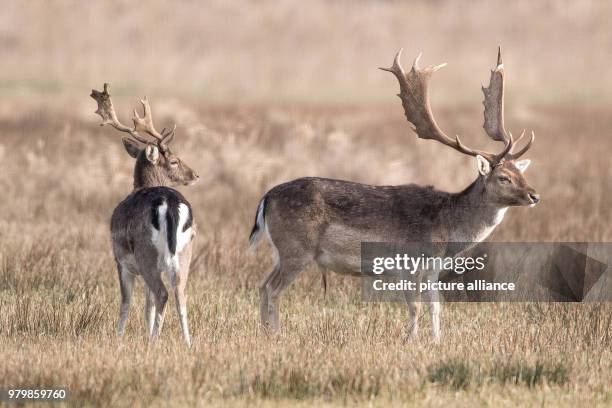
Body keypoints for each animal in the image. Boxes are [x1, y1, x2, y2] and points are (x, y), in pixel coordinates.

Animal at [91, 84, 198, 346]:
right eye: (174, 160)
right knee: (180, 293)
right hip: (185, 252)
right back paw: (188, 343)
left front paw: (118, 338)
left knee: (162, 293)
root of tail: (170, 204)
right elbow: (147, 306)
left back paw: (154, 343)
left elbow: (126, 302)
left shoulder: (120, 259)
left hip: (145, 251)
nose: (195, 174)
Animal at [247, 48, 536, 342]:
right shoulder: (408, 263)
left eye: (521, 173)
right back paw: (276, 334)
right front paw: (410, 341)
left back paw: (264, 333)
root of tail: (266, 198)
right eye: (503, 177)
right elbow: (415, 306)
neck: (446, 229)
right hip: (297, 249)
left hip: (281, 251)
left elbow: (435, 306)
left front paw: (436, 342)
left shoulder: (432, 269)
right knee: (273, 289)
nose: (534, 195)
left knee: (261, 285)